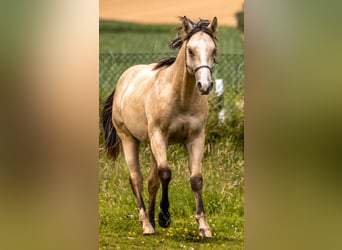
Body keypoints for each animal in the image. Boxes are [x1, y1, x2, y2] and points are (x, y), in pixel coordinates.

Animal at [101, 16, 218, 237]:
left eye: (213, 50)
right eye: (191, 50)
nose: (205, 86)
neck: (180, 97)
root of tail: (122, 81)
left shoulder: (196, 138)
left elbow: (196, 179)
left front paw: (204, 227)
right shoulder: (158, 136)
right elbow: (166, 173)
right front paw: (165, 217)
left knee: (151, 182)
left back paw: (152, 222)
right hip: (129, 139)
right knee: (136, 179)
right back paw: (147, 224)